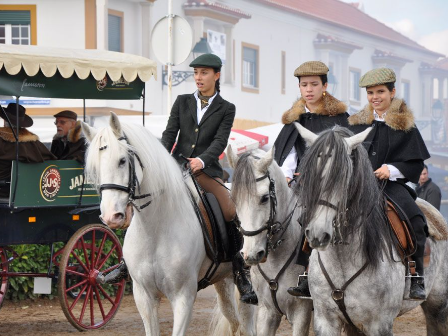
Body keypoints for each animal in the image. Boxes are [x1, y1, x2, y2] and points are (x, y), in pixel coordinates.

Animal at [82, 113, 254, 336]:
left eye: (122, 161)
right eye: (95, 169)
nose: (111, 216)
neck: (155, 230)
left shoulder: (183, 297)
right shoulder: (144, 296)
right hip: (223, 280)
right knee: (233, 322)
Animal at [294, 124, 448, 336]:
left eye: (343, 178)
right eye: (310, 177)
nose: (318, 234)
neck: (342, 260)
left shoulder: (380, 324)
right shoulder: (326, 321)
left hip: (439, 307)